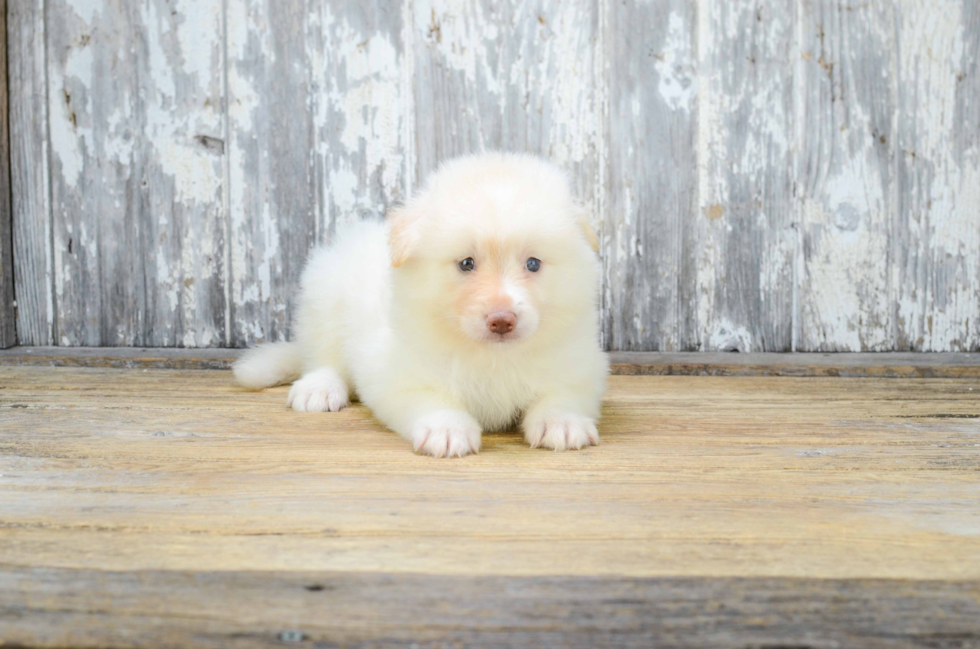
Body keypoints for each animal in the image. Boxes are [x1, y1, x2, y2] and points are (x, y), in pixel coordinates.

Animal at [234, 151, 608, 456]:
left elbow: (562, 393)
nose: (502, 320)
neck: (492, 355)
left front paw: (562, 423)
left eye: (533, 263)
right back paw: (319, 388)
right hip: (324, 298)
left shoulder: (580, 365)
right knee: (323, 357)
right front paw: (448, 429)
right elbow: (431, 398)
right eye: (466, 263)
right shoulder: (399, 373)